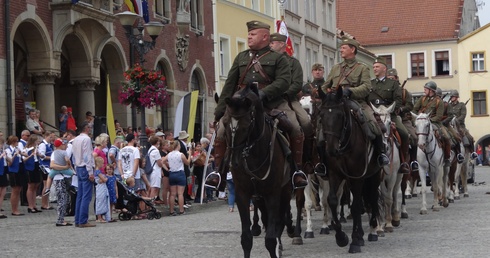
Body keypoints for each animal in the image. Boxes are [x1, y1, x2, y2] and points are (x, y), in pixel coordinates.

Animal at [223, 83, 294, 256]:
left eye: (246, 125)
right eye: (225, 123)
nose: (232, 161)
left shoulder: (273, 194)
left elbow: (271, 238)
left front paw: (275, 246)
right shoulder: (242, 194)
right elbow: (246, 239)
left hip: (285, 191)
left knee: (279, 220)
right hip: (260, 198)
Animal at [320, 87, 384, 254]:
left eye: (340, 116)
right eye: (321, 116)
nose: (331, 150)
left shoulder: (358, 176)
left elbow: (355, 206)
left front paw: (355, 240)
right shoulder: (335, 175)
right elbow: (332, 200)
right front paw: (341, 237)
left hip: (374, 175)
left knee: (372, 197)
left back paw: (372, 230)